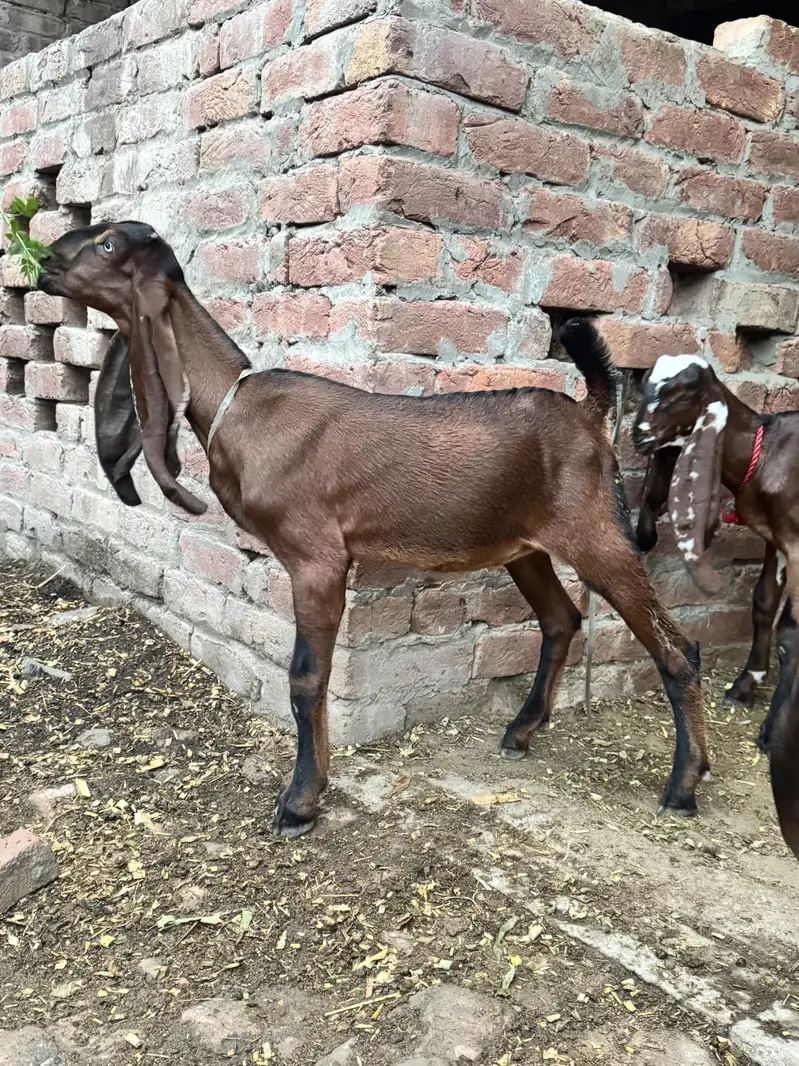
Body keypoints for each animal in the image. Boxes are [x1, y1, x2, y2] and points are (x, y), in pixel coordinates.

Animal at [39, 221, 709, 837]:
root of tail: (591, 414)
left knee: (678, 649)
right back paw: (521, 731)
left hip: (594, 530)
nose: (45, 261)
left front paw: (300, 802)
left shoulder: (317, 557)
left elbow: (306, 678)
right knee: (562, 619)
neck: (239, 406)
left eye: (107, 245)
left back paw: (684, 784)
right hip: (523, 544)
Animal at [631, 355, 799, 858]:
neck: (768, 449)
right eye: (646, 383)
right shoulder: (775, 538)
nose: (638, 435)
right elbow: (763, 606)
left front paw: (772, 730)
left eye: (685, 391)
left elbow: (792, 633)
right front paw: (745, 686)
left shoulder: (798, 542)